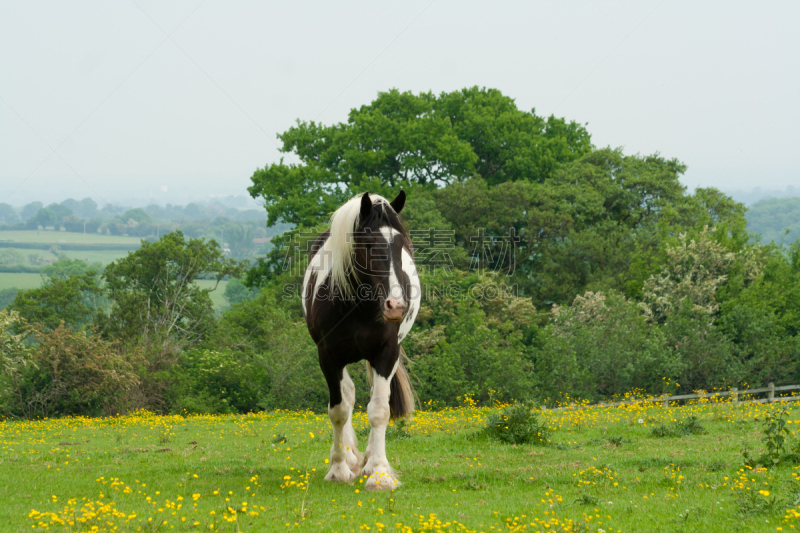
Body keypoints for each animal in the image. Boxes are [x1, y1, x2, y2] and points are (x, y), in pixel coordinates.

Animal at [304, 190, 422, 490]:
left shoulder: (386, 353)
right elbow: (339, 410)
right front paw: (338, 468)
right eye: (369, 245)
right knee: (347, 395)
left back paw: (368, 461)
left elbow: (379, 410)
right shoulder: (328, 356)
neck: (357, 306)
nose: (396, 306)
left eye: (401, 245)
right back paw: (351, 457)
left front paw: (379, 473)